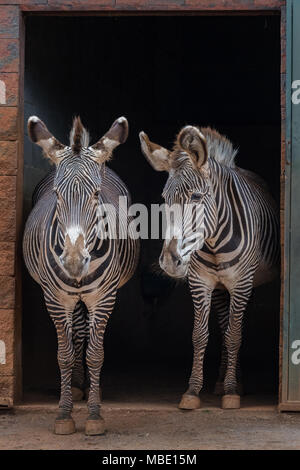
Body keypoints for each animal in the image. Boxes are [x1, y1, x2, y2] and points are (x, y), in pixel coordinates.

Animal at [22, 115, 139, 436]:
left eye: (96, 195)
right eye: (57, 195)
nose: (74, 262)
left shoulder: (104, 298)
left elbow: (95, 354)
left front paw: (95, 415)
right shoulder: (55, 299)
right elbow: (64, 354)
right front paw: (64, 414)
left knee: (85, 335)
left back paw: (88, 388)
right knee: (76, 334)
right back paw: (76, 388)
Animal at [140, 126, 278, 410]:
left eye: (195, 196)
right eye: (164, 198)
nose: (169, 261)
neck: (214, 240)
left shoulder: (241, 283)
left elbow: (235, 335)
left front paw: (231, 393)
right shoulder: (200, 281)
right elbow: (200, 335)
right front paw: (193, 391)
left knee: (233, 329)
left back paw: (232, 383)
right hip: (221, 288)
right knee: (224, 325)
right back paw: (224, 381)